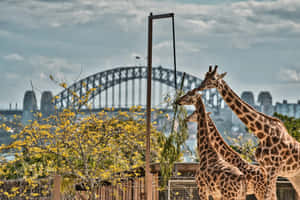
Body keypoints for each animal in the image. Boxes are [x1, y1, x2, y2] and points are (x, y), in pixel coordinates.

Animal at [195, 65, 300, 200]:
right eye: (205, 76)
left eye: (213, 78)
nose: (199, 87)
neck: (263, 133)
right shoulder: (266, 169)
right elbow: (271, 195)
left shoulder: (273, 169)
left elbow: (270, 196)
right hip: (294, 175)